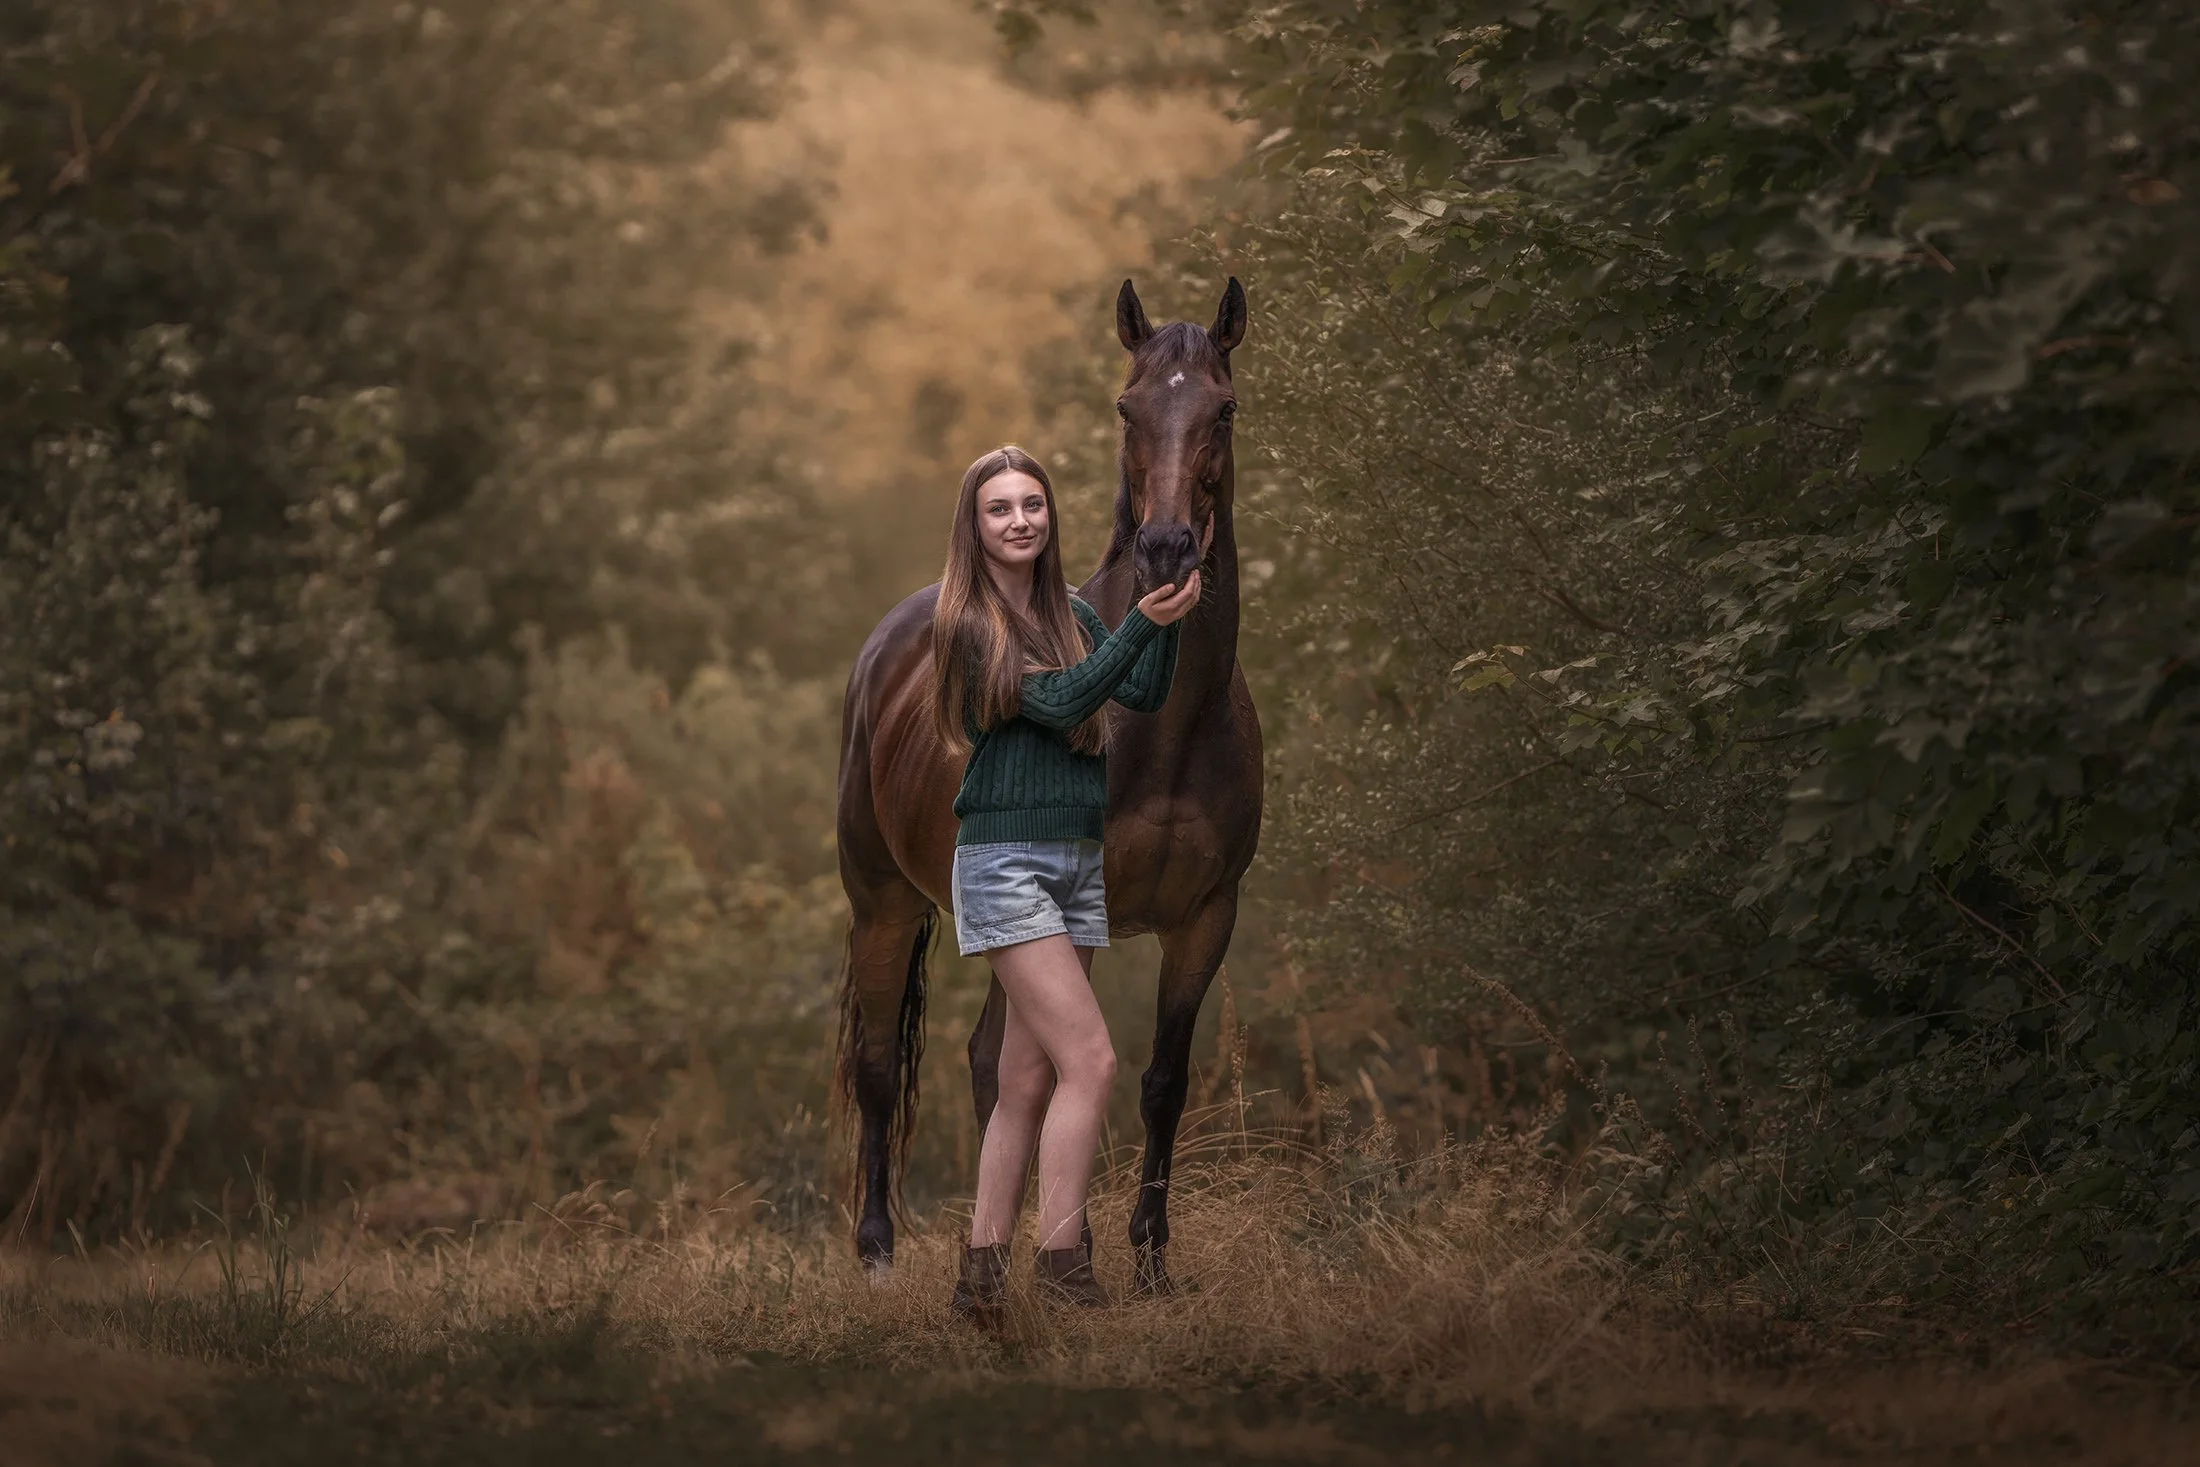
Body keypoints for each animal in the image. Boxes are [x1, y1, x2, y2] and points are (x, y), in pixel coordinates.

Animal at [834, 277, 1261, 1294]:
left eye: (1223, 408)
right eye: (1128, 406)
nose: (1166, 548)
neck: (1171, 728)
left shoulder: (1208, 916)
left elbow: (1161, 1080)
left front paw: (1149, 1261)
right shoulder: (1082, 912)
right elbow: (1070, 1072)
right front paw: (1086, 1248)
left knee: (994, 1064)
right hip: (882, 903)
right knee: (880, 1066)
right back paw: (878, 1252)